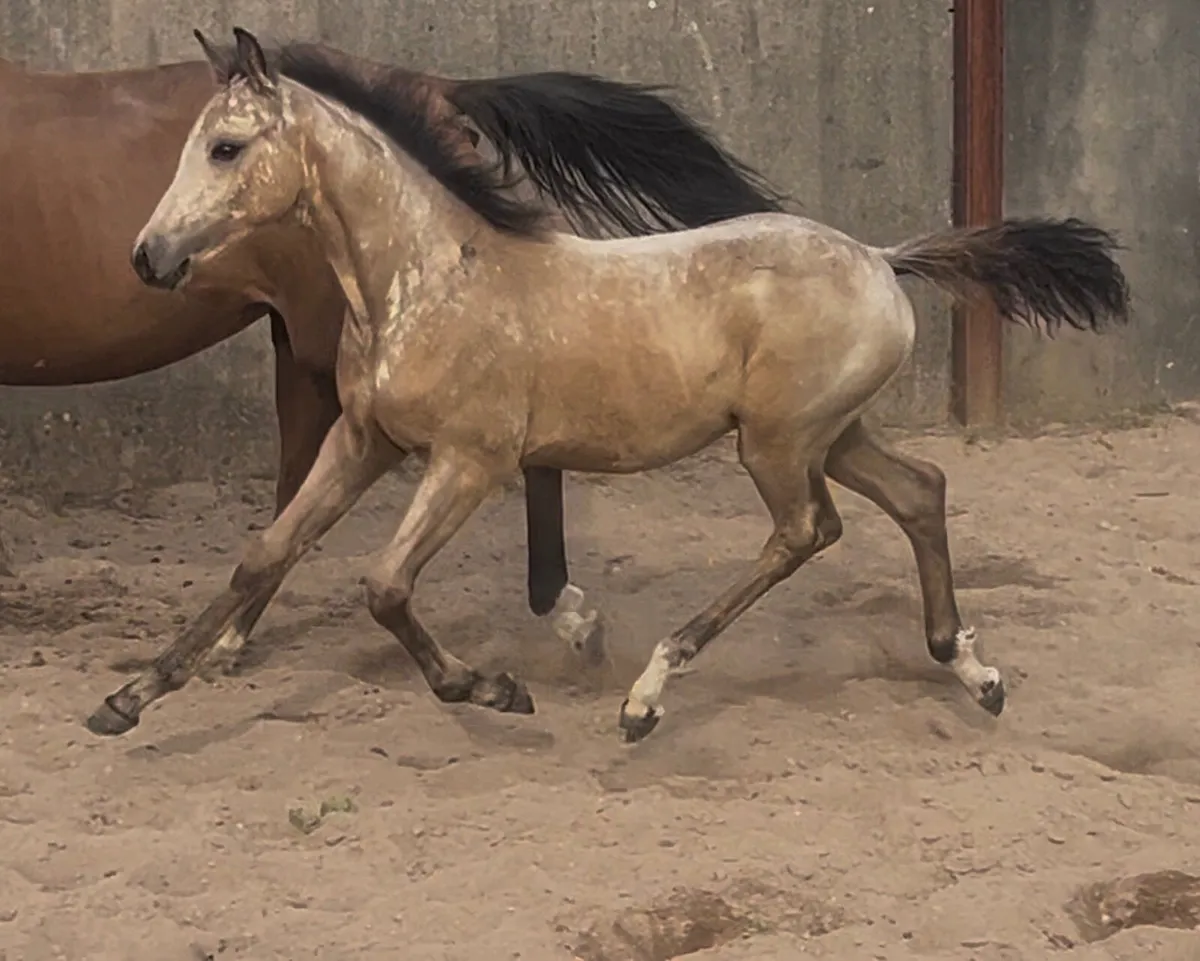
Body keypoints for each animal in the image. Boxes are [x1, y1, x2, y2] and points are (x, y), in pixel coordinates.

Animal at [86, 29, 1130, 743]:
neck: (422, 278)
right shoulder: (363, 440)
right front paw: (128, 698)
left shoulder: (470, 460)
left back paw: (646, 696)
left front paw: (494, 688)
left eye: (224, 148)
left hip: (778, 442)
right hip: (831, 432)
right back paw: (973, 670)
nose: (147, 256)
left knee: (807, 530)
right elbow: (261, 554)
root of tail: (881, 257)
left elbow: (383, 585)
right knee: (919, 490)